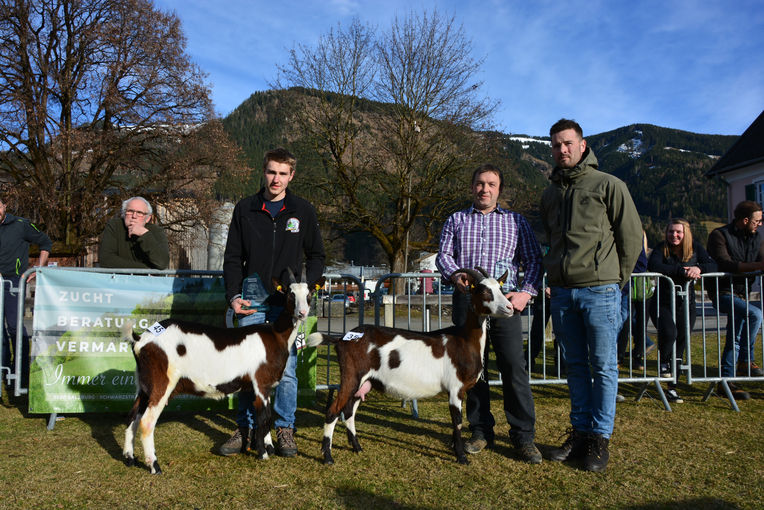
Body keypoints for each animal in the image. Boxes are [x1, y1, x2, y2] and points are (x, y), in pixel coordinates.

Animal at [121, 270, 322, 474]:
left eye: (309, 294)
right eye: (290, 294)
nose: (302, 313)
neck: (275, 334)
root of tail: (140, 339)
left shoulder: (261, 387)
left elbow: (265, 416)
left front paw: (269, 448)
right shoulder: (261, 383)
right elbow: (263, 417)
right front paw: (263, 454)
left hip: (144, 385)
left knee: (133, 416)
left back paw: (129, 458)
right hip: (162, 382)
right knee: (147, 422)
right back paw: (154, 466)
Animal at [306, 268, 512, 464]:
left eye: (500, 288)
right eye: (484, 291)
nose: (510, 307)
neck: (463, 340)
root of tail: (342, 338)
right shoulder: (455, 388)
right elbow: (458, 422)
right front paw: (461, 457)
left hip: (364, 381)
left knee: (349, 411)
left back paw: (357, 447)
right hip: (351, 375)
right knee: (333, 411)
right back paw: (328, 457)